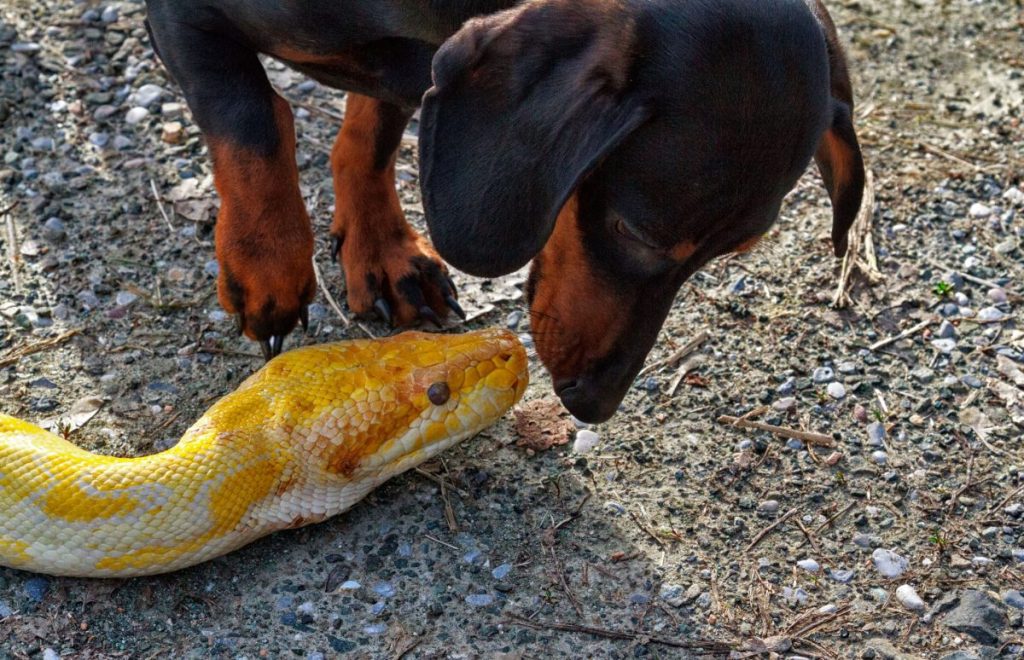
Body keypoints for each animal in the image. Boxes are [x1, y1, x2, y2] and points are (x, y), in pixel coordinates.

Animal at [146, 0, 864, 421]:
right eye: (635, 231)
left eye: (728, 254)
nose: (593, 404)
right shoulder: (186, 15)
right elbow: (252, 122)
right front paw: (267, 269)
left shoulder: (415, 73)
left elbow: (372, 137)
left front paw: (383, 252)